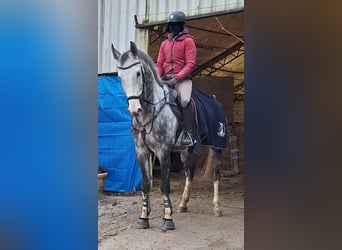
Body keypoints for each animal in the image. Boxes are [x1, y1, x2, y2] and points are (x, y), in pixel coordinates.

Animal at [111, 41, 226, 230]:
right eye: (120, 77)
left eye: (138, 73)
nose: (135, 110)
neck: (149, 112)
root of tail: (215, 101)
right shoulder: (141, 151)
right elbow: (145, 184)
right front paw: (144, 217)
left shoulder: (163, 151)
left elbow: (165, 186)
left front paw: (167, 218)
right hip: (186, 150)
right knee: (189, 172)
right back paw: (183, 204)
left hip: (216, 145)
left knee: (216, 174)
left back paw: (217, 207)